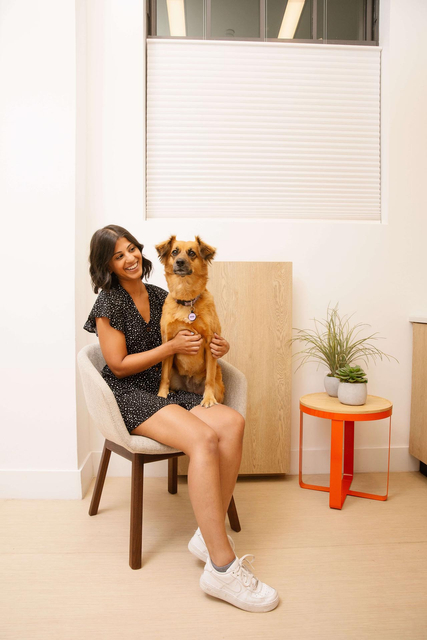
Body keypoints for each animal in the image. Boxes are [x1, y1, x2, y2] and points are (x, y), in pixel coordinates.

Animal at [155, 236, 226, 410]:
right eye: (174, 251)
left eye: (192, 253)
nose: (179, 262)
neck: (186, 300)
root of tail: (190, 388)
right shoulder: (168, 342)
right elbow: (164, 375)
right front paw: (162, 394)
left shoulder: (210, 343)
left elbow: (209, 379)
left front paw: (208, 398)